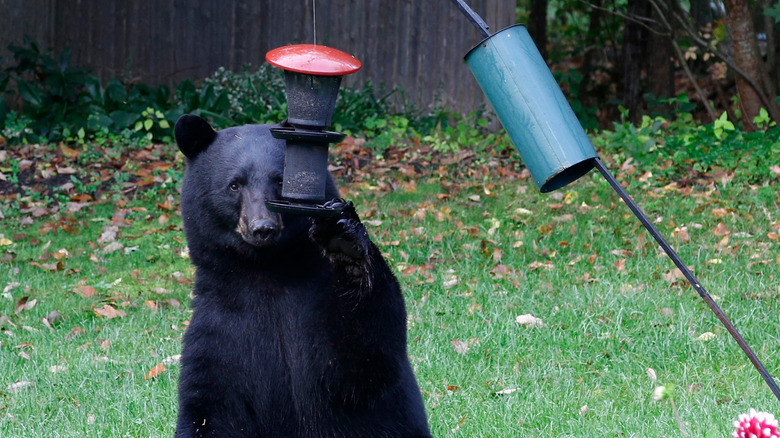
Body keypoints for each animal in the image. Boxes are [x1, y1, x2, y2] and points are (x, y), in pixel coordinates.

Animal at [172, 114, 432, 436]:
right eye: (234, 185)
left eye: (280, 180)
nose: (263, 227)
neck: (268, 271)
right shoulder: (220, 327)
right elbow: (210, 405)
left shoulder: (320, 301)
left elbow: (369, 360)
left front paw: (344, 239)